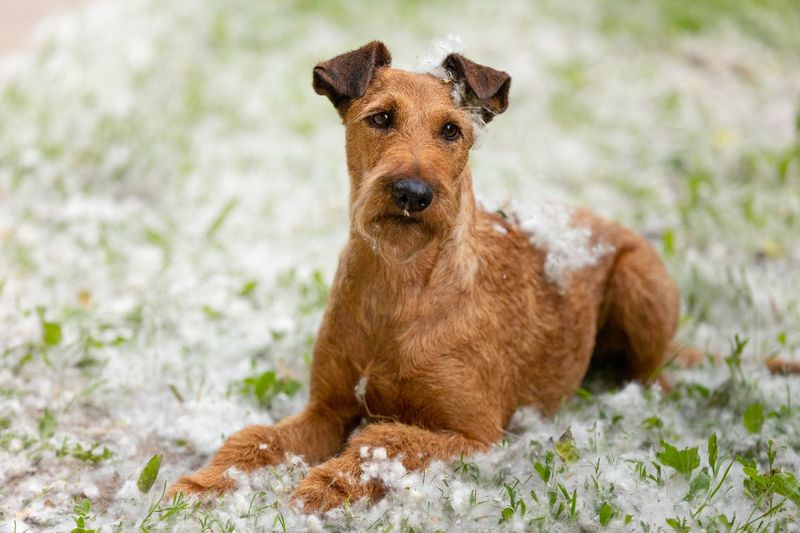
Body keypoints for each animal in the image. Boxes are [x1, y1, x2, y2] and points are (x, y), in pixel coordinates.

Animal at [169, 41, 688, 512]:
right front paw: (201, 484)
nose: (413, 193)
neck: (398, 283)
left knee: (652, 369)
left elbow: (383, 440)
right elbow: (255, 438)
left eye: (451, 129)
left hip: (639, 285)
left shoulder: (476, 434)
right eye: (381, 118)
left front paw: (327, 484)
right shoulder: (326, 409)